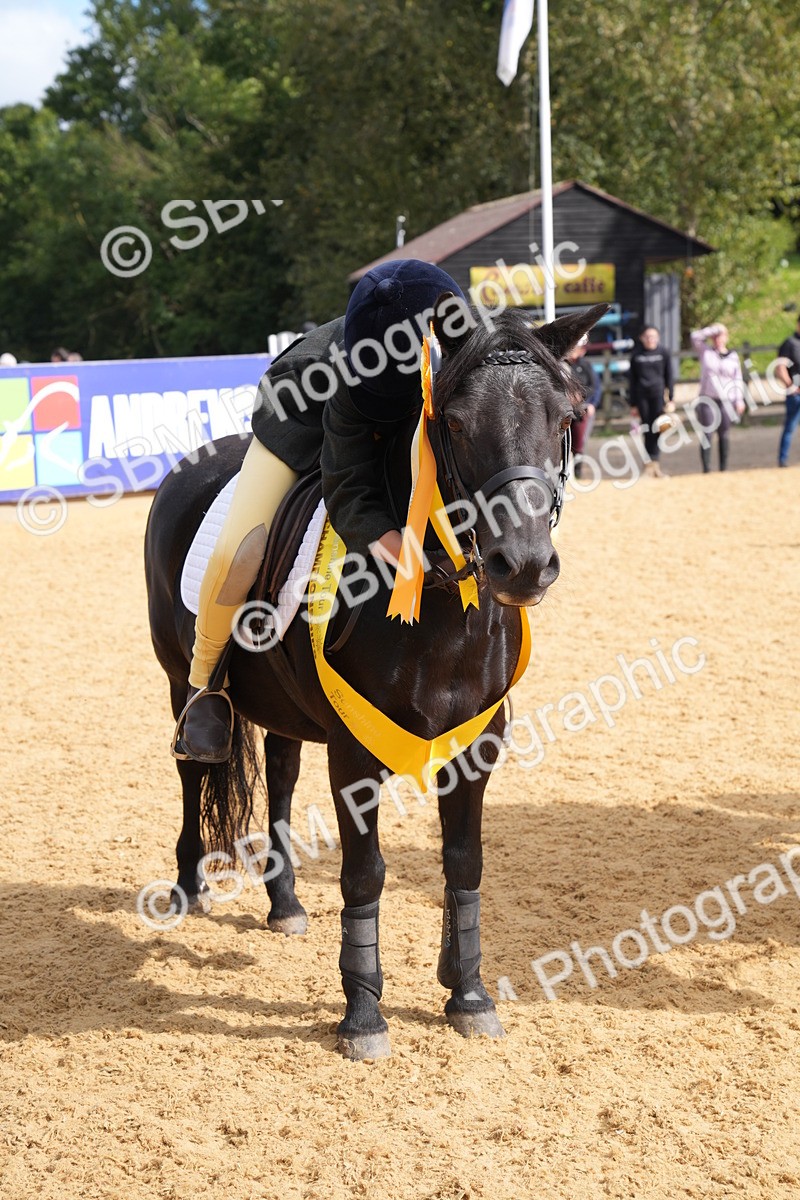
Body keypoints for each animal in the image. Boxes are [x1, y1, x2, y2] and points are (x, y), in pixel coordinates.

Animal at [144, 297, 607, 1060]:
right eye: (455, 422)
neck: (446, 608)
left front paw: (468, 993)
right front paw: (363, 1013)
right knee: (193, 767)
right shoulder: (355, 756)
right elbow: (365, 872)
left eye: (565, 418)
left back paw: (285, 903)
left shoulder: (475, 751)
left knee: (280, 775)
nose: (524, 564)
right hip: (182, 679)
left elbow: (464, 865)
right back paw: (188, 887)